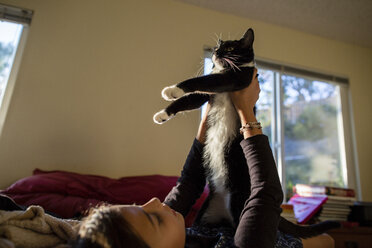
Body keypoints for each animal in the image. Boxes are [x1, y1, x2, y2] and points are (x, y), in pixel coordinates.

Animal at [153, 29, 338, 238]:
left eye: (230, 48)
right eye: (217, 47)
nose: (216, 52)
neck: (229, 68)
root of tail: (223, 210)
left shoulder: (235, 79)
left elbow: (202, 80)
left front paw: (172, 90)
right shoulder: (207, 94)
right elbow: (187, 100)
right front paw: (162, 114)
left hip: (239, 202)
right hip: (205, 214)